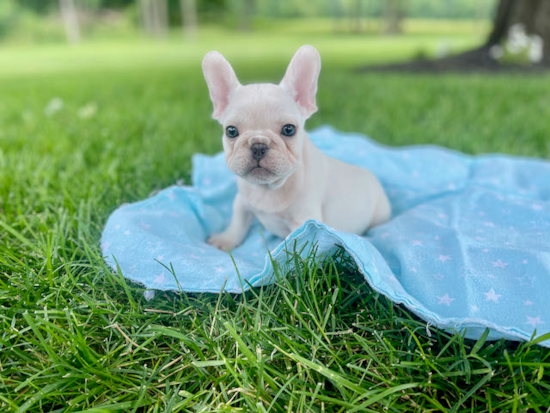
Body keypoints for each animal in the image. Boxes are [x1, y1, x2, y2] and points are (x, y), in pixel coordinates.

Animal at [203, 45, 392, 251]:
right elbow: (237, 222)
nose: (258, 145)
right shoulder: (242, 202)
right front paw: (226, 239)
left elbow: (294, 248)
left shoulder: (305, 222)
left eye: (289, 129)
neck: (268, 189)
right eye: (231, 131)